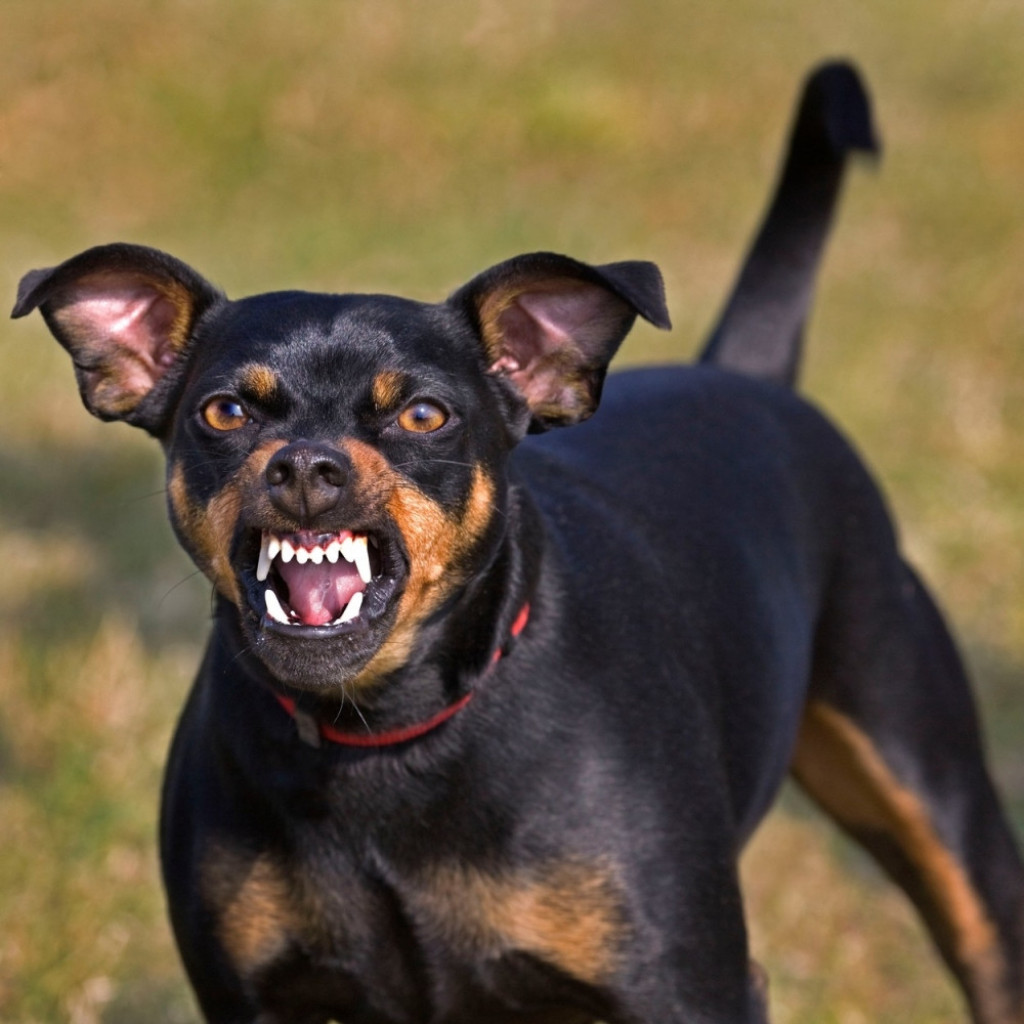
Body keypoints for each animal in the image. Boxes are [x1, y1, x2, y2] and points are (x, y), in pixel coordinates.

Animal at [14, 64, 1024, 1024]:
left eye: (424, 413)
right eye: (225, 412)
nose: (304, 467)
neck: (383, 734)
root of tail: (748, 377)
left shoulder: (691, 987)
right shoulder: (251, 996)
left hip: (934, 796)